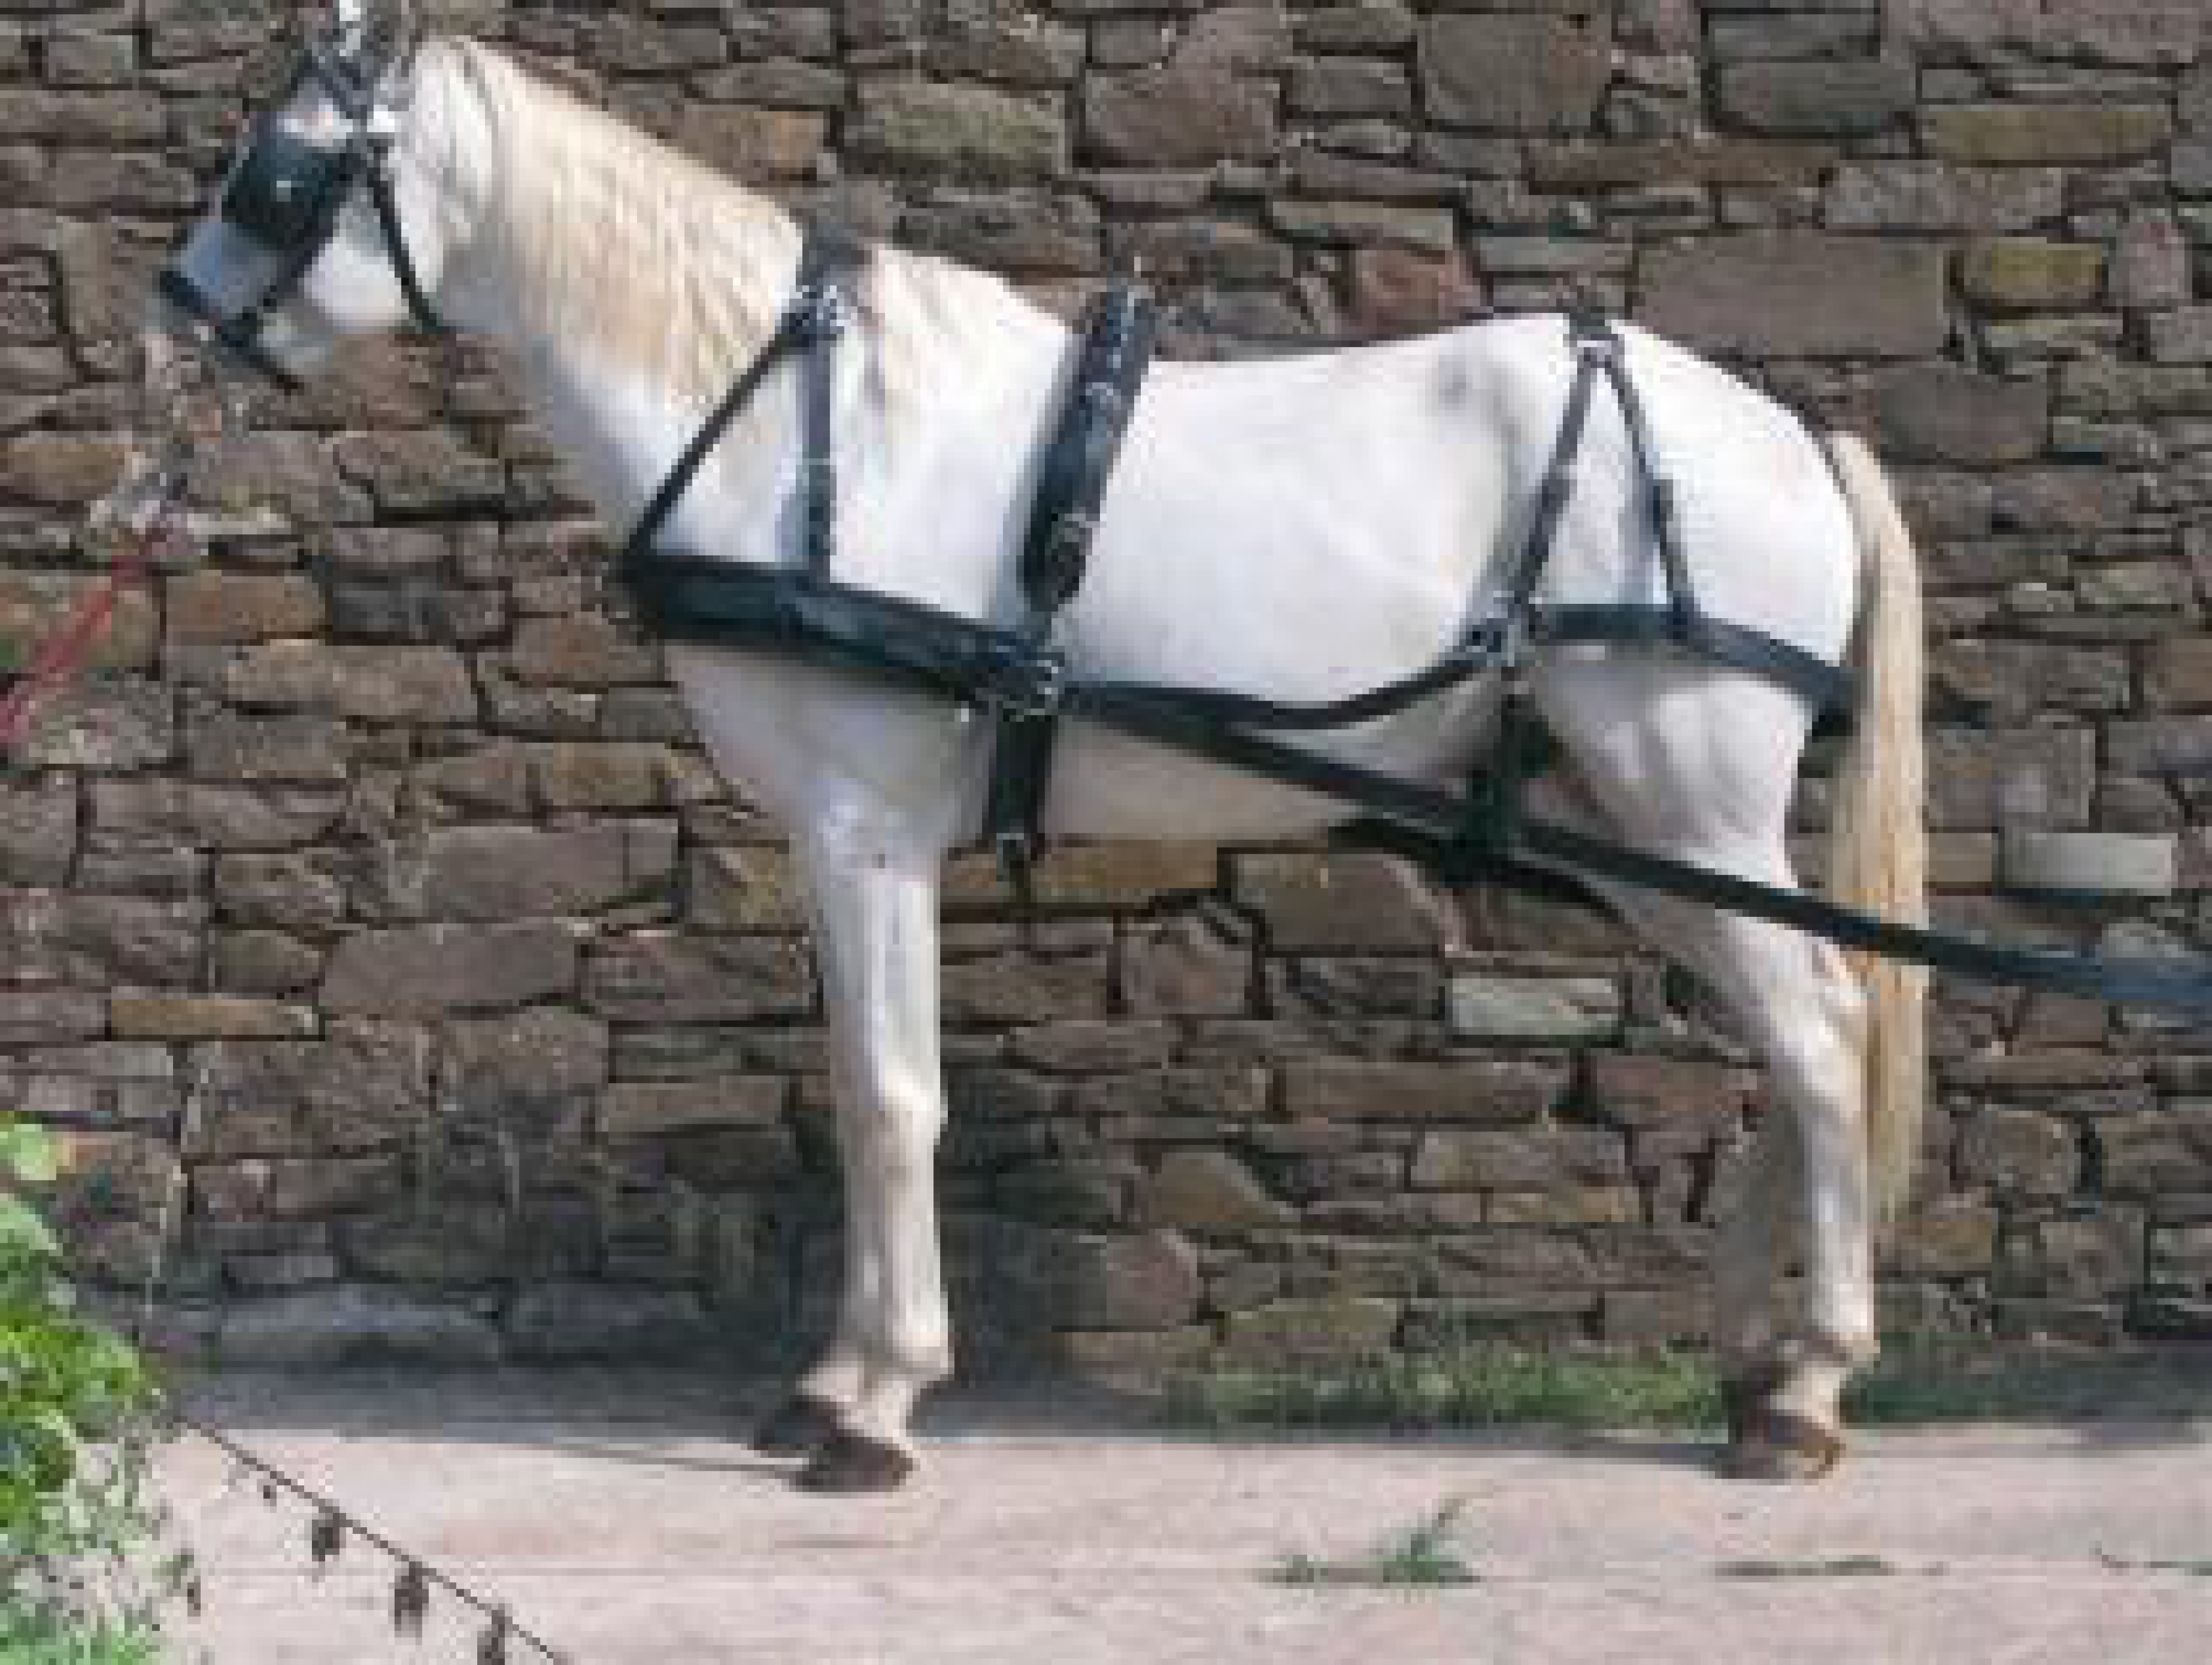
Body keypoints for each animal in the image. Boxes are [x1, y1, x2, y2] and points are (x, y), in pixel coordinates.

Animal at [160, 11, 1927, 1492]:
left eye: (280, 170)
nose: (171, 319)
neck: (799, 430)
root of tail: (1790, 437)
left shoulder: (867, 828)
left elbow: (891, 1099)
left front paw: (876, 1408)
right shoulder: (827, 837)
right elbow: (859, 1088)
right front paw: (832, 1378)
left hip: (1688, 798)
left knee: (1825, 1030)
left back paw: (1809, 1385)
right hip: (1626, 823)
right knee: (1803, 1029)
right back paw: (1755, 1351)